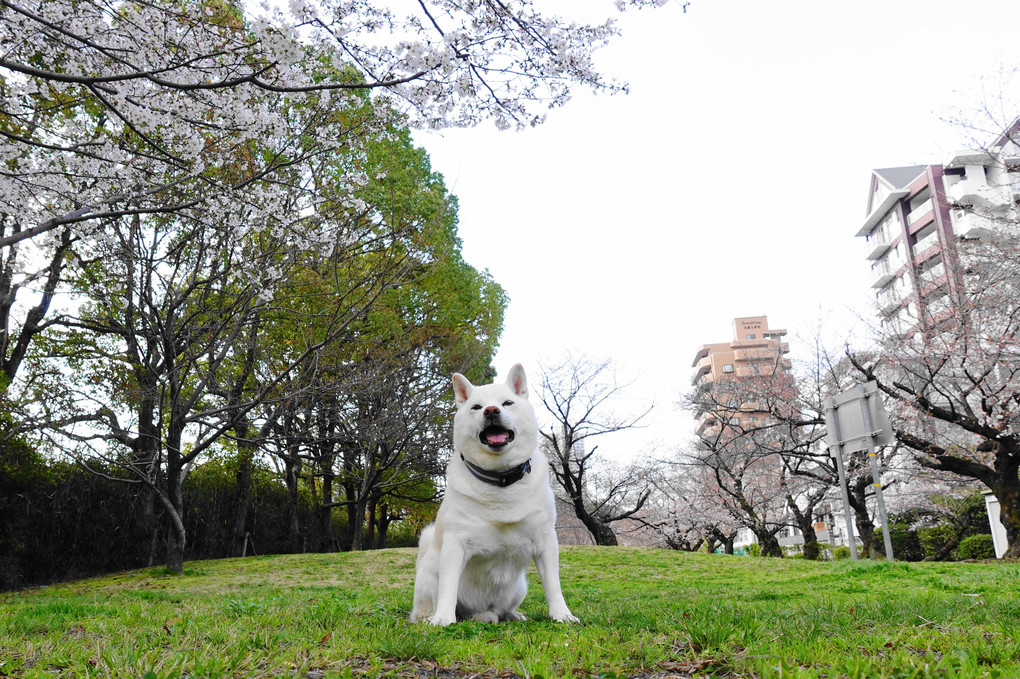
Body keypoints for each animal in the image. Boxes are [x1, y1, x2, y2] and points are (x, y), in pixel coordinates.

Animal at [410, 364, 579, 623]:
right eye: (476, 407)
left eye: (507, 403)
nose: (491, 410)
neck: (500, 480)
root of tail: (480, 610)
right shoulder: (454, 545)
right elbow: (448, 587)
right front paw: (443, 619)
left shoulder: (546, 541)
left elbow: (553, 585)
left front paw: (562, 615)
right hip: (430, 574)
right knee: (440, 605)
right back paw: (437, 617)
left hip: (519, 587)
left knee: (500, 610)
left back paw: (511, 615)